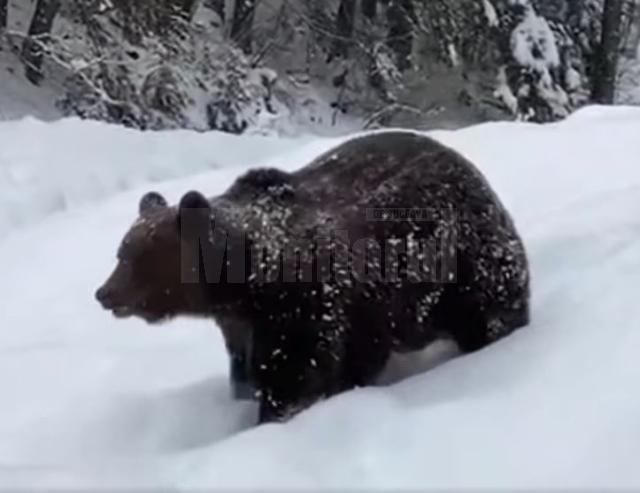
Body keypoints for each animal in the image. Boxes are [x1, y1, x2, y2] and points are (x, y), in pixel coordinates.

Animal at [96, 131, 528, 422]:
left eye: (138, 258)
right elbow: (249, 370)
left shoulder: (308, 305)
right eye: (121, 251)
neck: (245, 283)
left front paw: (277, 412)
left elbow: (299, 374)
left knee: (490, 309)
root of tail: (472, 169)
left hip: (464, 260)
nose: (103, 293)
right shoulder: (242, 324)